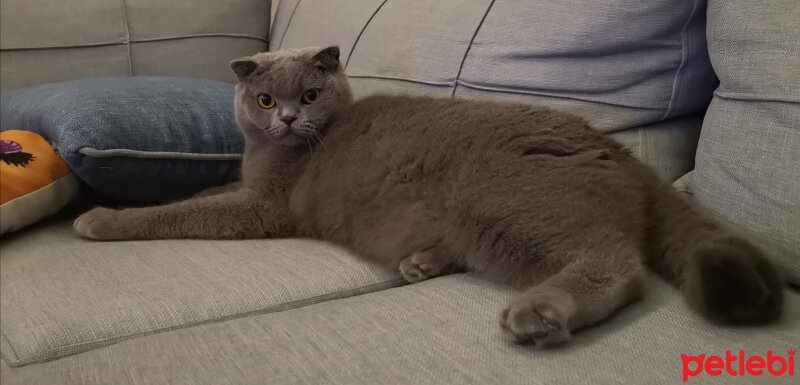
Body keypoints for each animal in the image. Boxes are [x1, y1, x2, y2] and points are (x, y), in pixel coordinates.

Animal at [72, 46, 784, 346]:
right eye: (266, 99)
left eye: (310, 94)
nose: (289, 120)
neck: (269, 155)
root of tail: (619, 152)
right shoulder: (247, 183)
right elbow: (209, 188)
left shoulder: (262, 208)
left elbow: (184, 212)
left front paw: (100, 219)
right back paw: (422, 262)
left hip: (505, 207)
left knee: (620, 266)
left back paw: (538, 315)